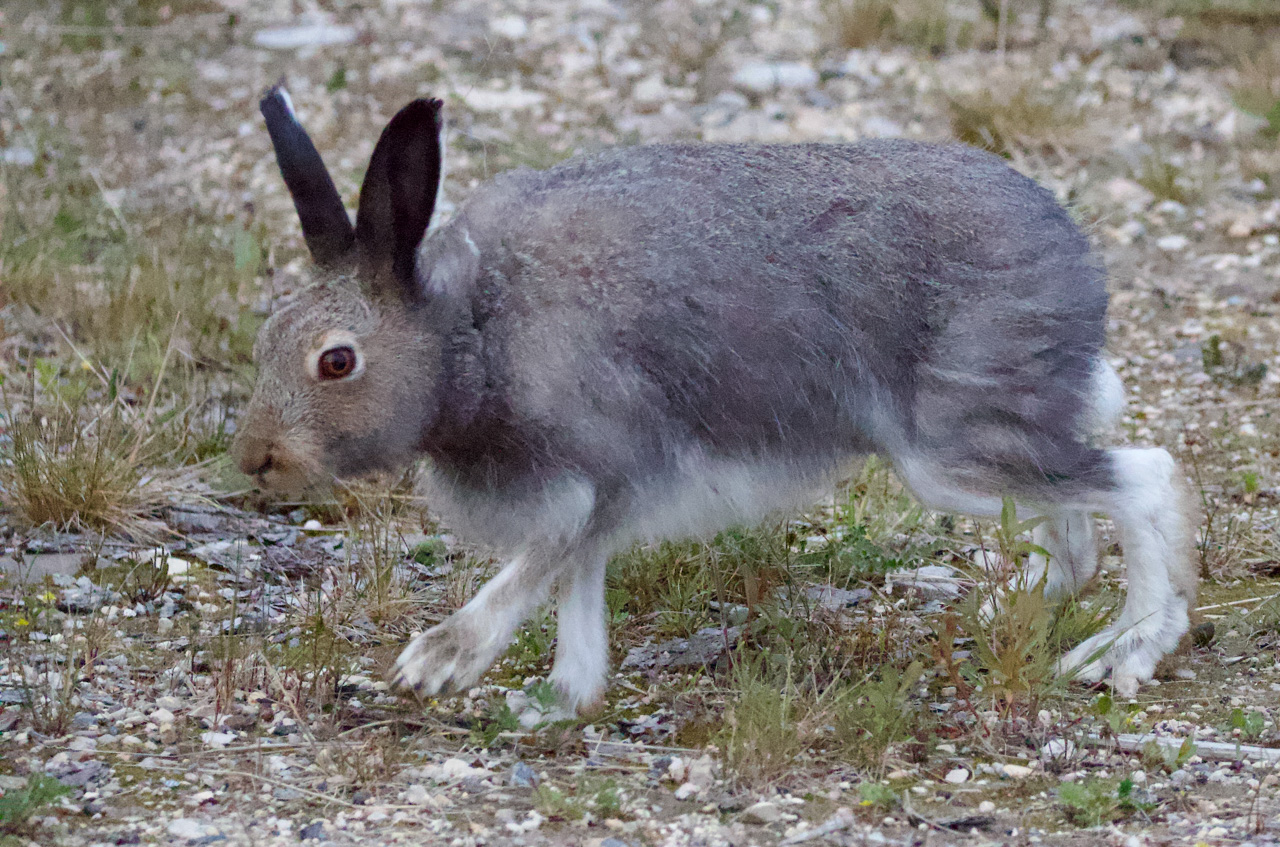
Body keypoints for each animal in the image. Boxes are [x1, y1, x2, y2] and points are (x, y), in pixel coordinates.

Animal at [234, 86, 1197, 713]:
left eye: (336, 361)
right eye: (266, 335)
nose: (256, 460)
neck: (471, 335)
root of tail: (1074, 259)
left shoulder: (604, 468)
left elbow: (539, 568)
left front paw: (438, 663)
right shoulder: (596, 497)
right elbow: (578, 588)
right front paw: (560, 700)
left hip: (953, 445)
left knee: (1142, 478)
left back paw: (1122, 654)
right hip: (985, 446)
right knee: (1074, 525)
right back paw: (1025, 608)